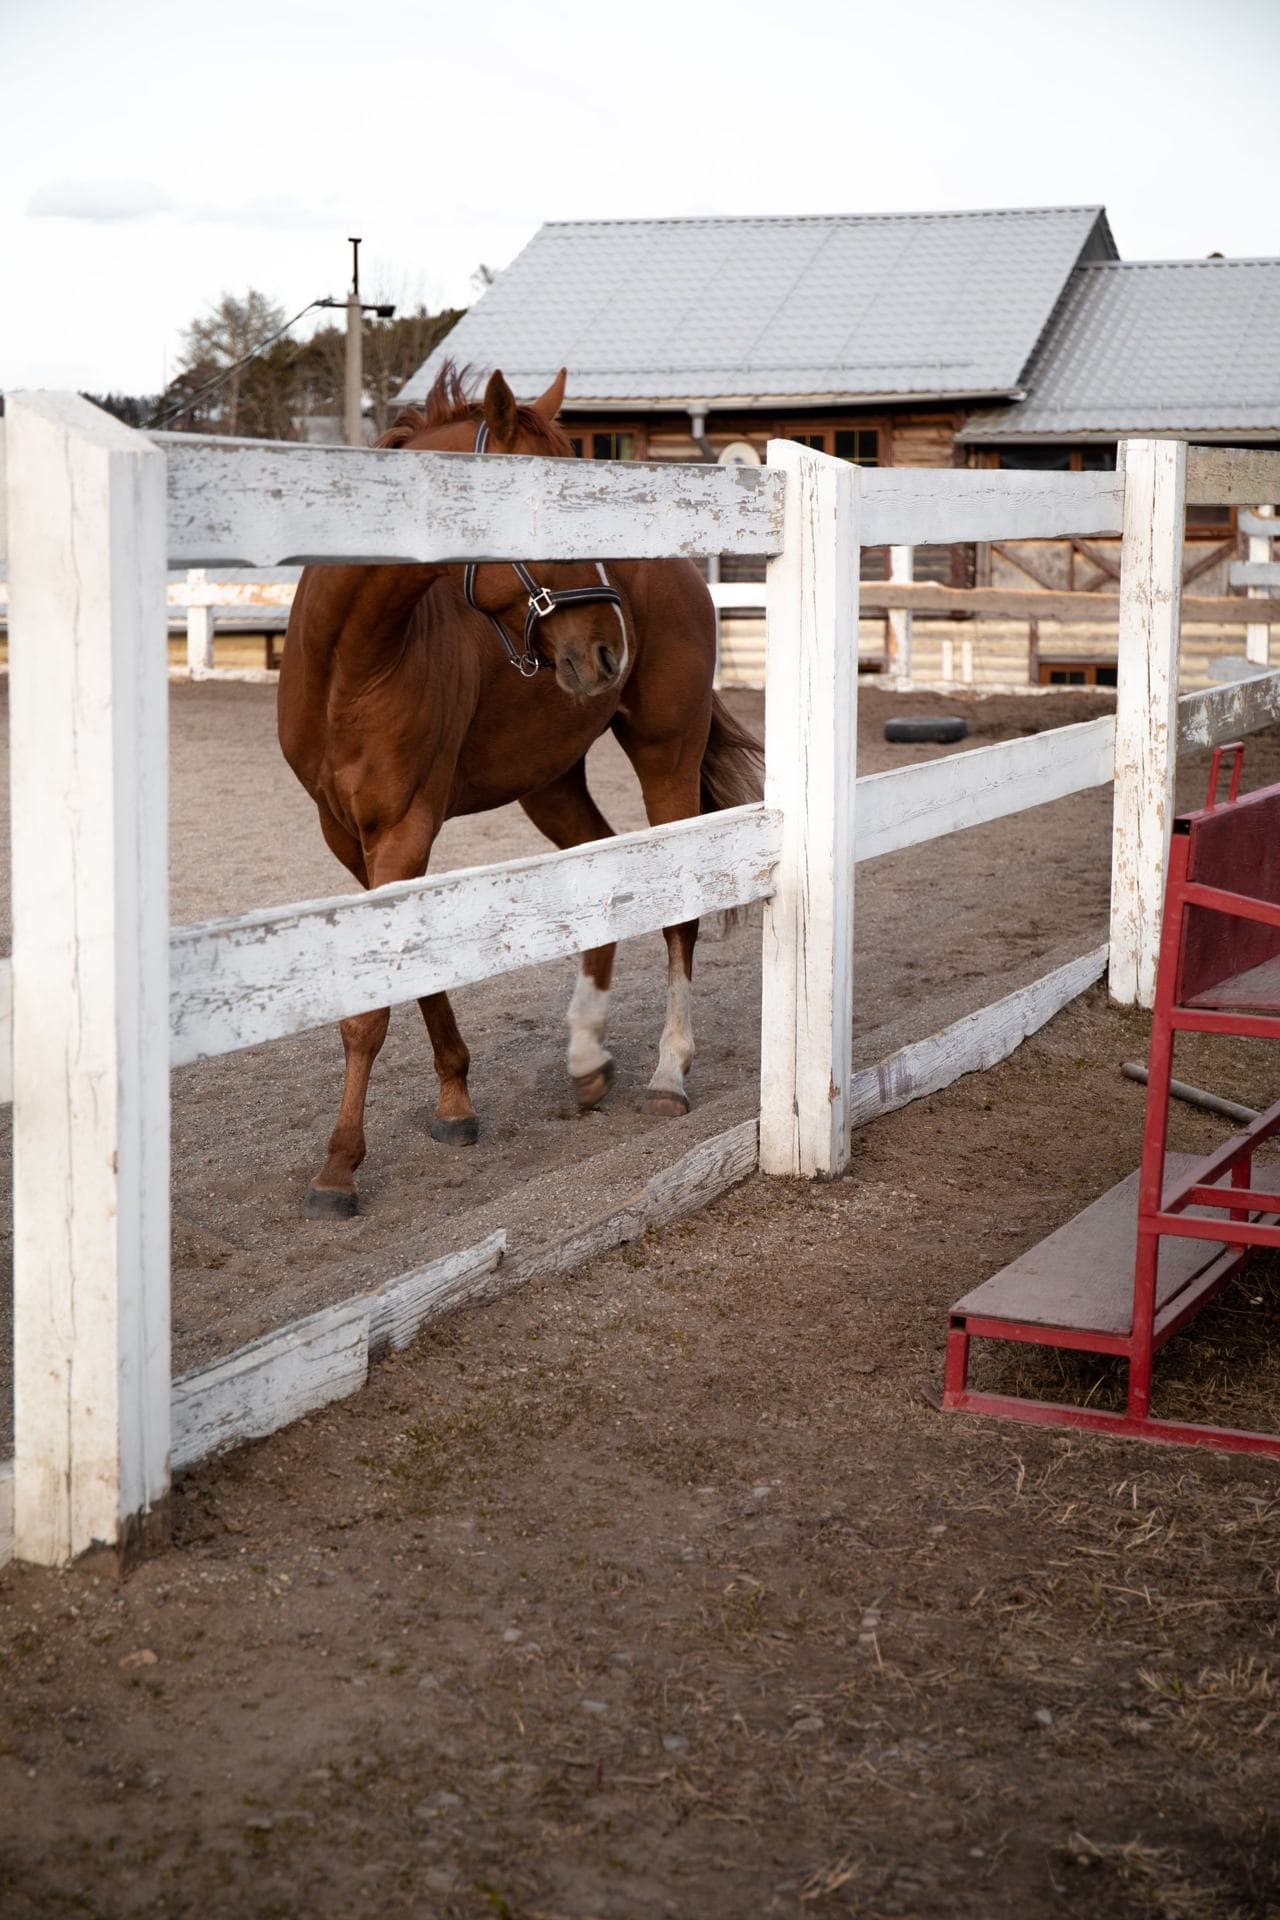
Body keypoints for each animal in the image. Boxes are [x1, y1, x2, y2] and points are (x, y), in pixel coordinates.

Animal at [277, 362, 762, 1217]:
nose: (608, 650)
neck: (352, 664)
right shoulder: (350, 838)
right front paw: (454, 1105)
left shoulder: (404, 828)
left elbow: (374, 1004)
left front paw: (338, 1167)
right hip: (550, 782)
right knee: (603, 865)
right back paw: (587, 1058)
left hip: (665, 758)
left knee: (680, 912)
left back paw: (668, 1074)